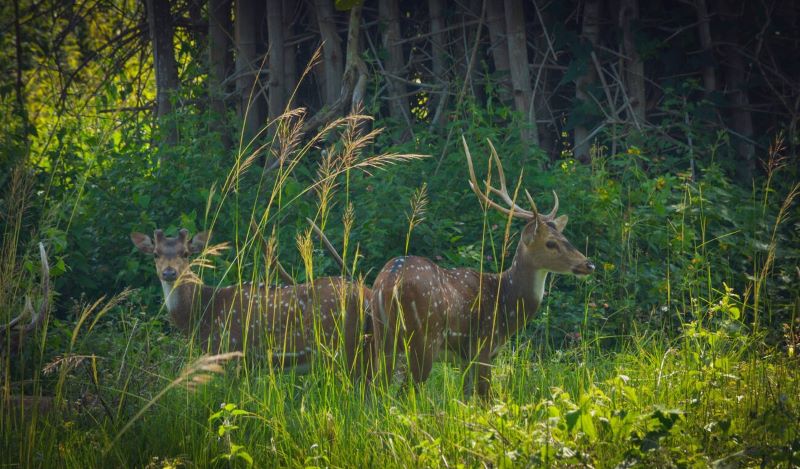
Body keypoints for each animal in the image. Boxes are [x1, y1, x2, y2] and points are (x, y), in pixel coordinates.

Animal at [131, 227, 372, 372]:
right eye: (155, 253)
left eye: (185, 253)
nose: (169, 272)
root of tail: (364, 293)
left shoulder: (230, 352)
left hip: (340, 346)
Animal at [370, 137, 592, 396]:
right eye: (550, 243)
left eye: (565, 238)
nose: (588, 264)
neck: (506, 301)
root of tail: (389, 284)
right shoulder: (483, 346)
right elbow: (485, 397)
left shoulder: (465, 358)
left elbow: (466, 397)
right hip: (424, 338)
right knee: (406, 391)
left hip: (382, 337)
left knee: (376, 389)